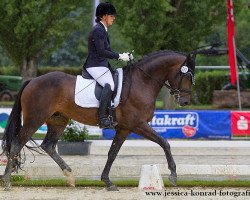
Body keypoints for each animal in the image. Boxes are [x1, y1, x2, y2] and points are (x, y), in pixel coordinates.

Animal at [0, 50, 195, 191]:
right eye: (186, 75)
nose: (185, 102)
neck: (143, 81)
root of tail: (32, 81)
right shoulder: (138, 124)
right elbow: (164, 143)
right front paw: (173, 175)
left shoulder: (124, 128)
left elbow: (112, 153)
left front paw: (107, 182)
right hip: (35, 119)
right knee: (17, 143)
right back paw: (7, 181)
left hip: (58, 120)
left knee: (48, 145)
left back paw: (70, 176)